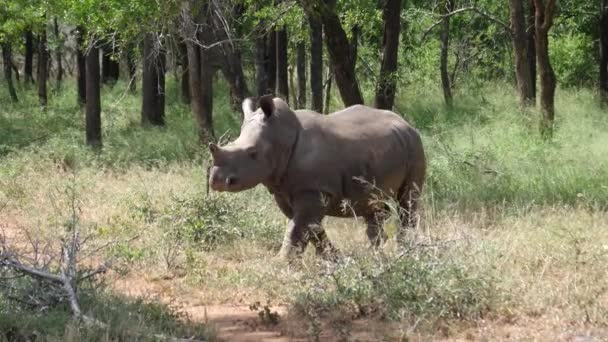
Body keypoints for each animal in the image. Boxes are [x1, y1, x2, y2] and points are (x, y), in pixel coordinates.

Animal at [209, 95, 428, 258]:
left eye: (252, 153)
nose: (216, 181)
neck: (281, 137)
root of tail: (404, 122)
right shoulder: (284, 189)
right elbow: (308, 228)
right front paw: (335, 259)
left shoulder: (314, 189)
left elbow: (298, 228)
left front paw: (280, 265)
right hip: (384, 148)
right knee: (373, 206)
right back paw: (377, 254)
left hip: (414, 145)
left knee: (407, 200)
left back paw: (406, 251)